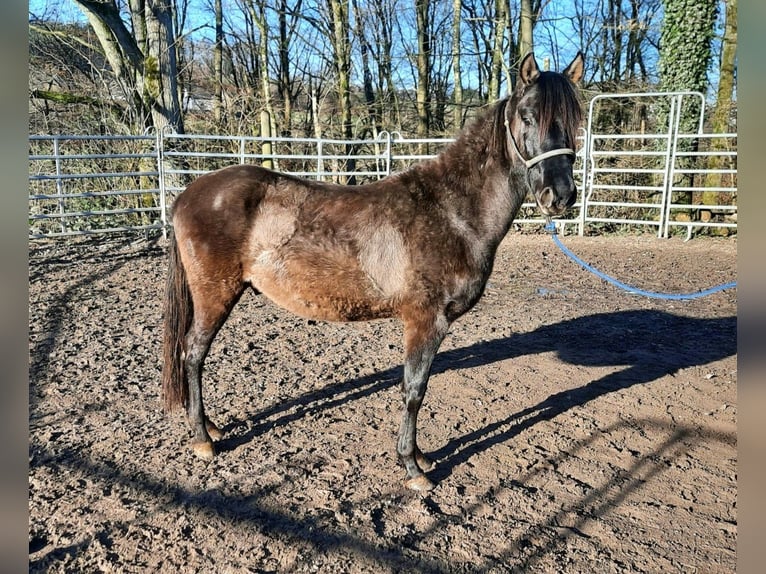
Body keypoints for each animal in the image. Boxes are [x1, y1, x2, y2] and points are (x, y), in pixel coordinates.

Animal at [160, 51, 584, 492]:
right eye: (527, 116)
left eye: (576, 119)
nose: (561, 196)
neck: (451, 212)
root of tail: (187, 195)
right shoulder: (426, 321)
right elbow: (414, 389)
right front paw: (412, 468)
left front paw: (421, 457)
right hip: (215, 294)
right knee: (193, 354)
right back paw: (203, 438)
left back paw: (210, 426)